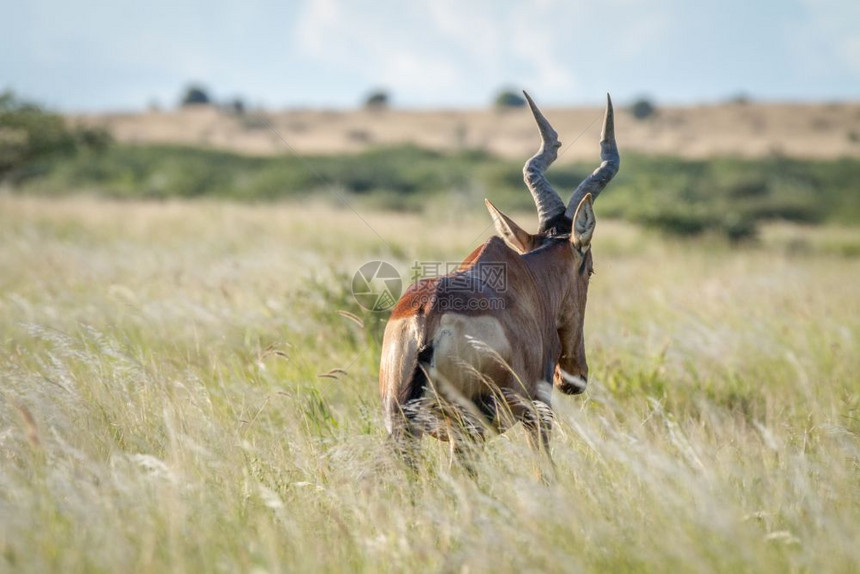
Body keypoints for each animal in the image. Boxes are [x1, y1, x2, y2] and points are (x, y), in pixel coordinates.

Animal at [376, 92, 620, 470]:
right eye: (590, 269)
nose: (573, 378)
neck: (528, 278)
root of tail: (427, 319)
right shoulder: (540, 412)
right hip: (468, 428)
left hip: (402, 424)